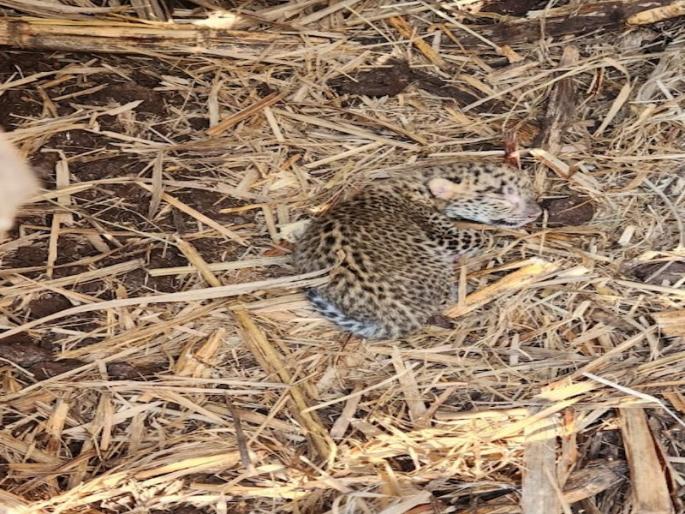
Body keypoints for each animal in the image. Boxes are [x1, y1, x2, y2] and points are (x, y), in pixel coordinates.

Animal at [293, 163, 541, 340]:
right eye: (501, 199)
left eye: (528, 190)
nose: (536, 213)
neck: (421, 184)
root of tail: (395, 318)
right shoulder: (447, 238)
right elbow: (484, 237)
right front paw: (508, 239)